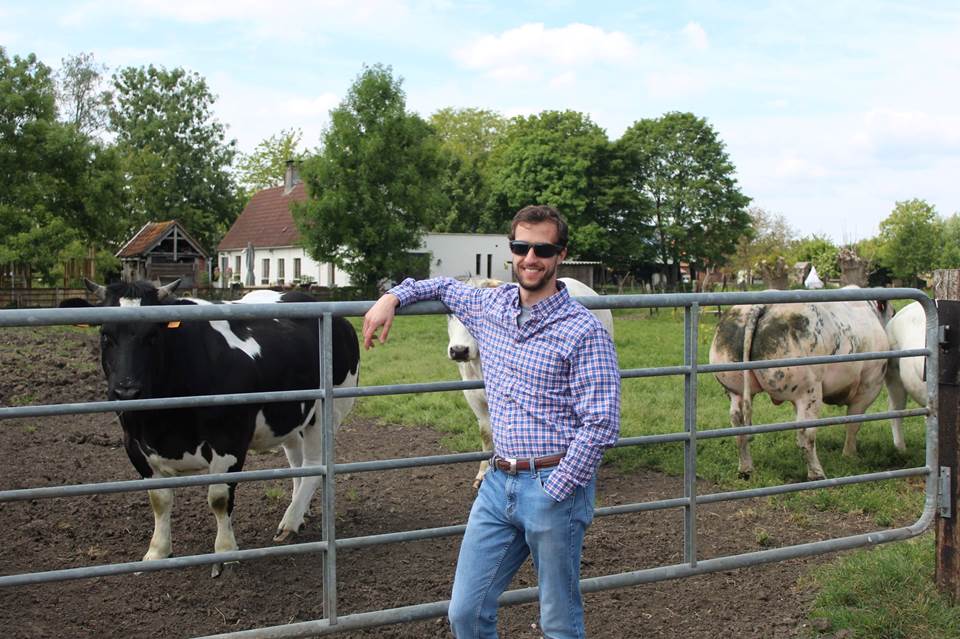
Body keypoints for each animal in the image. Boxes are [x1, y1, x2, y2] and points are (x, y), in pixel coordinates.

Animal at [64, 278, 360, 576]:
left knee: (315, 462)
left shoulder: (229, 441)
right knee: (299, 463)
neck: (161, 422)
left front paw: (226, 551)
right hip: (289, 416)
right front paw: (157, 551)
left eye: (153, 335)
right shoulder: (134, 444)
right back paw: (300, 511)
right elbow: (159, 499)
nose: (127, 391)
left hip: (328, 409)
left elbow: (219, 498)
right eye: (105, 334)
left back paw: (290, 521)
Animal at [708, 298, 896, 482]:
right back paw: (817, 474)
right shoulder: (869, 386)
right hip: (809, 391)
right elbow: (853, 423)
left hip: (735, 389)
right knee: (806, 432)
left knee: (738, 425)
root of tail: (760, 305)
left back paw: (745, 470)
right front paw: (849, 455)